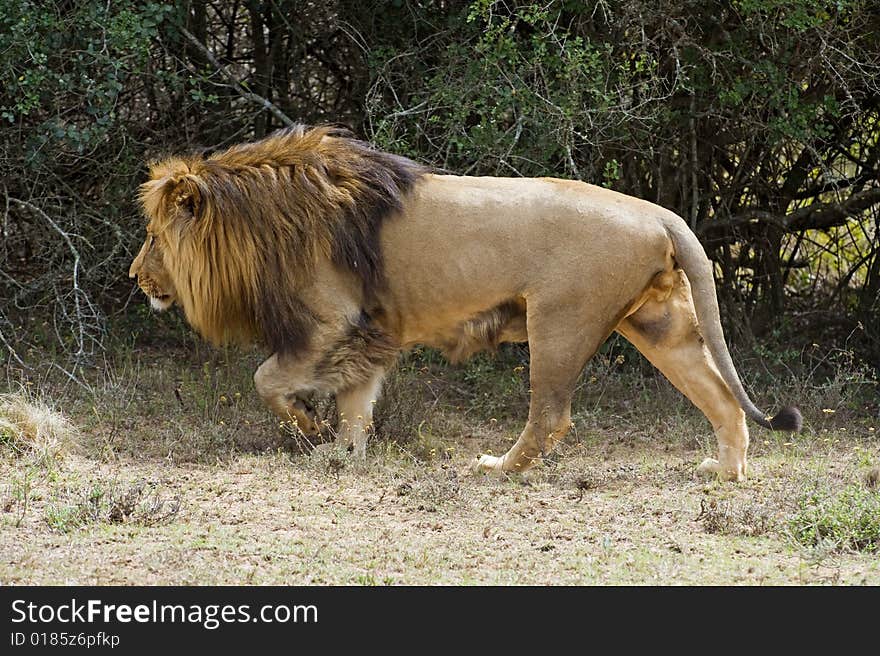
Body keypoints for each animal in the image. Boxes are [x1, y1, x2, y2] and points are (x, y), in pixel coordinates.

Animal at [127, 124, 800, 482]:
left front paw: (313, 430)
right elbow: (356, 405)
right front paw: (345, 455)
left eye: (154, 236)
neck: (261, 220)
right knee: (721, 398)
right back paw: (725, 473)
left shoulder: (332, 324)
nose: (136, 277)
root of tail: (660, 213)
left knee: (550, 417)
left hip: (559, 322)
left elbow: (267, 381)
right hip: (659, 324)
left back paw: (496, 468)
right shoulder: (370, 334)